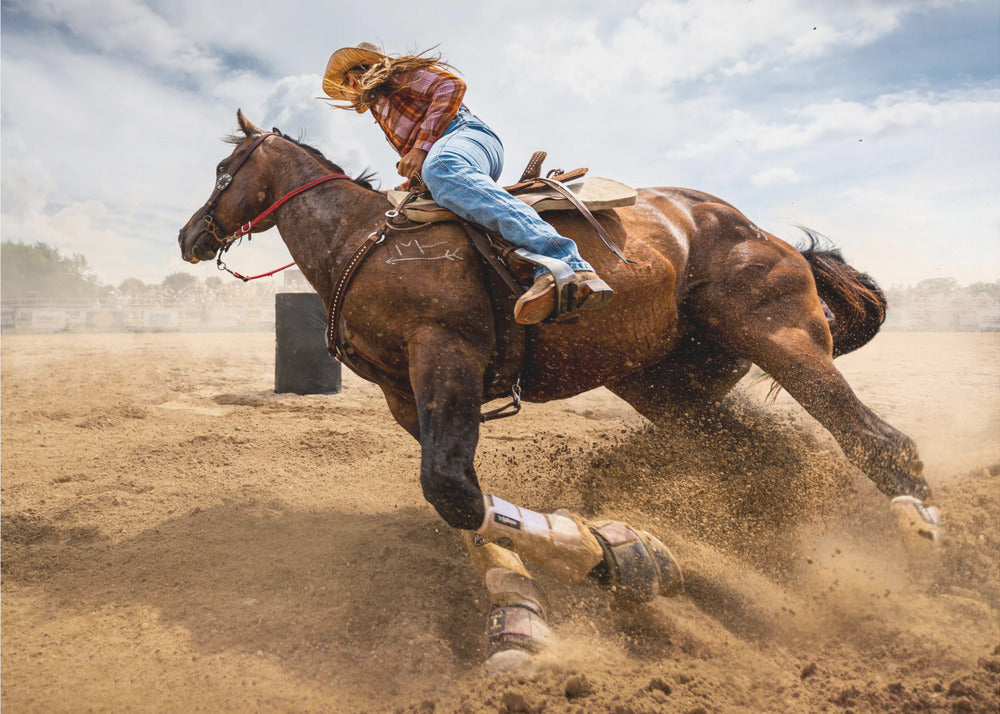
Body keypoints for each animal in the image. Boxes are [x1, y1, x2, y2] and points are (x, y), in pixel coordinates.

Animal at [178, 110, 936, 668]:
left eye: (221, 171)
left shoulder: (447, 355)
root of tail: (764, 233)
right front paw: (525, 616)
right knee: (765, 458)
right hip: (671, 390)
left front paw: (626, 558)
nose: (189, 234)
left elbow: (450, 488)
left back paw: (923, 561)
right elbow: (463, 499)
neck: (363, 241)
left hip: (781, 339)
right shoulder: (406, 398)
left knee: (878, 440)